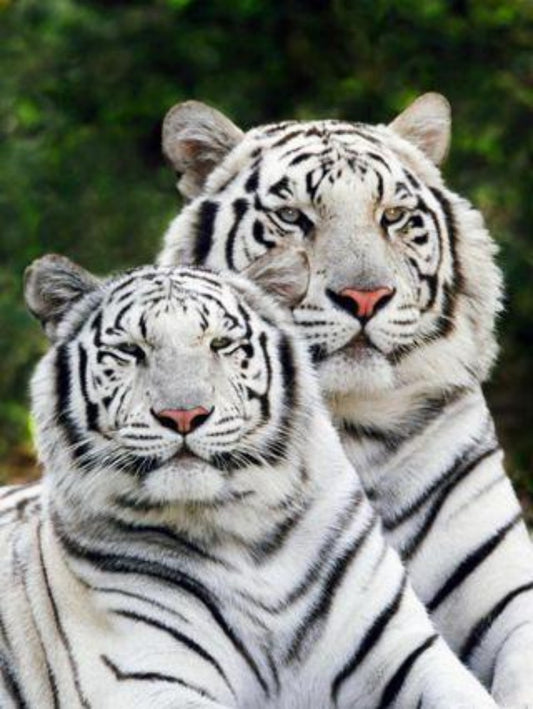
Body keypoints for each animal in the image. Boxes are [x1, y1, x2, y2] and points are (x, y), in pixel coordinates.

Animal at [0, 254, 498, 708]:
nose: (184, 415)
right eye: (131, 351)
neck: (246, 535)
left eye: (220, 344)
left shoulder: (404, 650)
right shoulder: (145, 677)